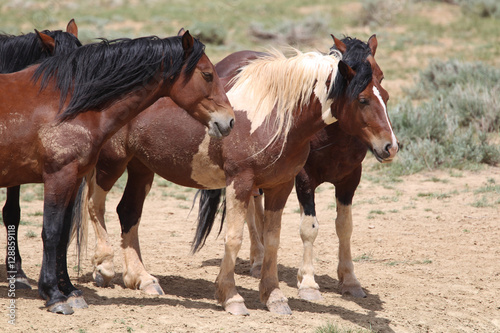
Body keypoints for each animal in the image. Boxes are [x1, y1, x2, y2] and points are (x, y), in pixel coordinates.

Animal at [78, 35, 396, 316]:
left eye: (385, 93)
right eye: (363, 99)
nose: (390, 146)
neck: (276, 117)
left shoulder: (281, 186)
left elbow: (272, 239)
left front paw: (273, 296)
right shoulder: (240, 183)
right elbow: (234, 239)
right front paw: (230, 297)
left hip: (141, 168)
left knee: (128, 212)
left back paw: (142, 278)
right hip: (111, 164)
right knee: (96, 205)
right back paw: (104, 267)